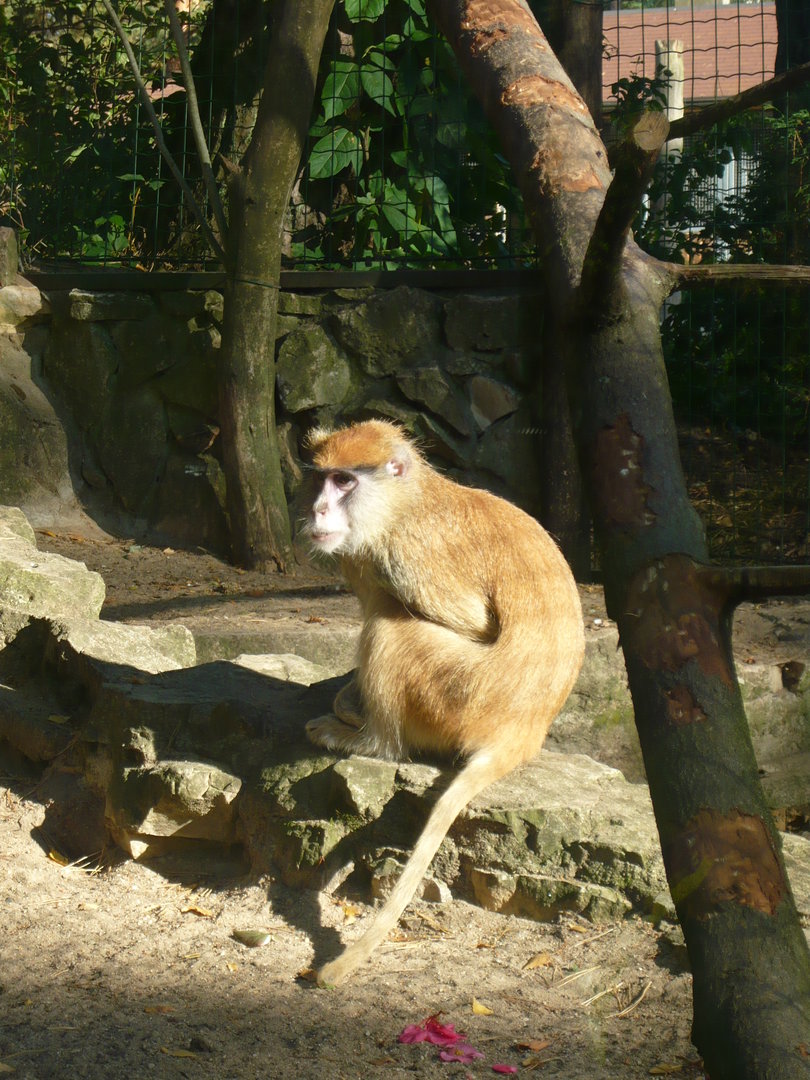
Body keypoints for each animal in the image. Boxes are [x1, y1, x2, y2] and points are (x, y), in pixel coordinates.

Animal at [300, 419, 584, 986]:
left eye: (345, 481)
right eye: (321, 478)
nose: (318, 509)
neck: (401, 502)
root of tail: (524, 728)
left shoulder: (406, 553)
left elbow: (470, 621)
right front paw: (346, 694)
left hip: (462, 696)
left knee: (392, 624)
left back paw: (373, 741)